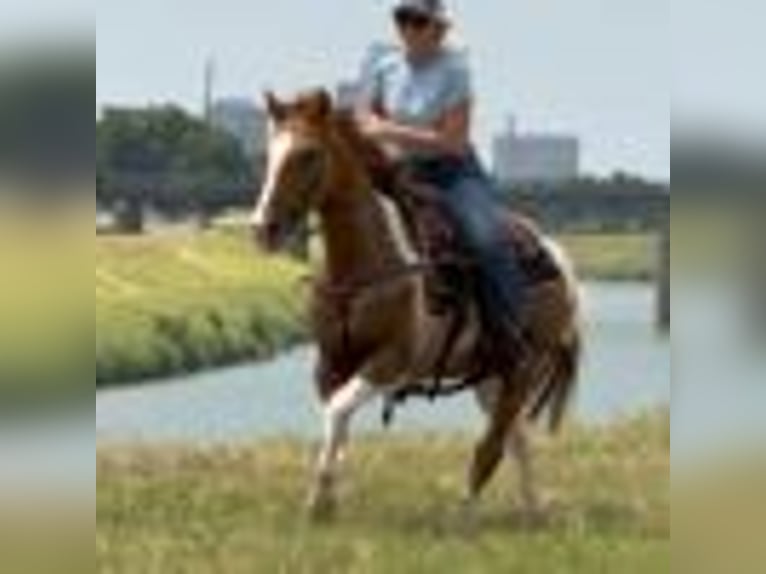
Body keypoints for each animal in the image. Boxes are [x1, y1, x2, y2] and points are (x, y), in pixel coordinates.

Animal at [250, 88, 583, 521]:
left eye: (308, 154)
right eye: (269, 152)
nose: (263, 228)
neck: (363, 270)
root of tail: (554, 254)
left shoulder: (390, 362)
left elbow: (338, 411)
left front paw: (320, 499)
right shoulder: (329, 363)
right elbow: (336, 423)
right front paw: (327, 498)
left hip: (521, 371)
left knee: (491, 447)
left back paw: (465, 515)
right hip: (491, 377)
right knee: (517, 440)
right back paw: (533, 511)